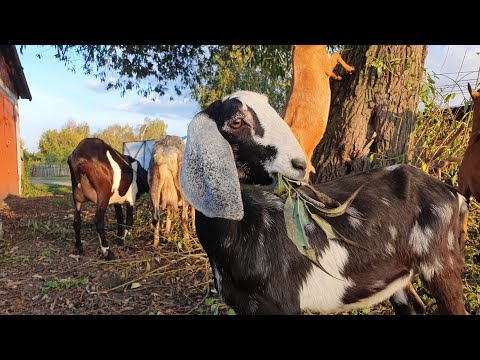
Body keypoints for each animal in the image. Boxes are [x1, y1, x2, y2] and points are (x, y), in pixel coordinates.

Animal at [180, 90, 468, 316]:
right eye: (237, 122)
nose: (299, 165)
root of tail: (453, 194)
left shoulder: (280, 302)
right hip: (398, 275)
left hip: (440, 261)